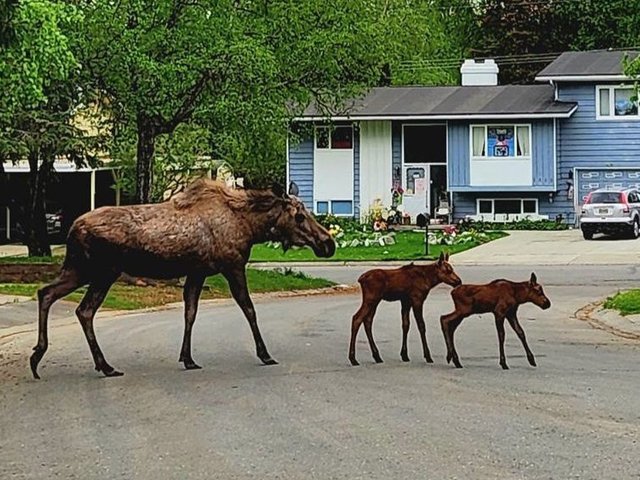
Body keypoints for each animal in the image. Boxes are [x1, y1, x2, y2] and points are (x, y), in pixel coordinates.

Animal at [30, 178, 336, 376]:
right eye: (299, 216)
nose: (328, 243)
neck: (251, 227)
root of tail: (71, 228)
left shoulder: (197, 272)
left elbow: (190, 312)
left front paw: (187, 358)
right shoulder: (233, 266)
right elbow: (249, 309)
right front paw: (265, 354)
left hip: (79, 269)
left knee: (47, 292)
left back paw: (40, 357)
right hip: (103, 272)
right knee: (83, 310)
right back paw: (101, 365)